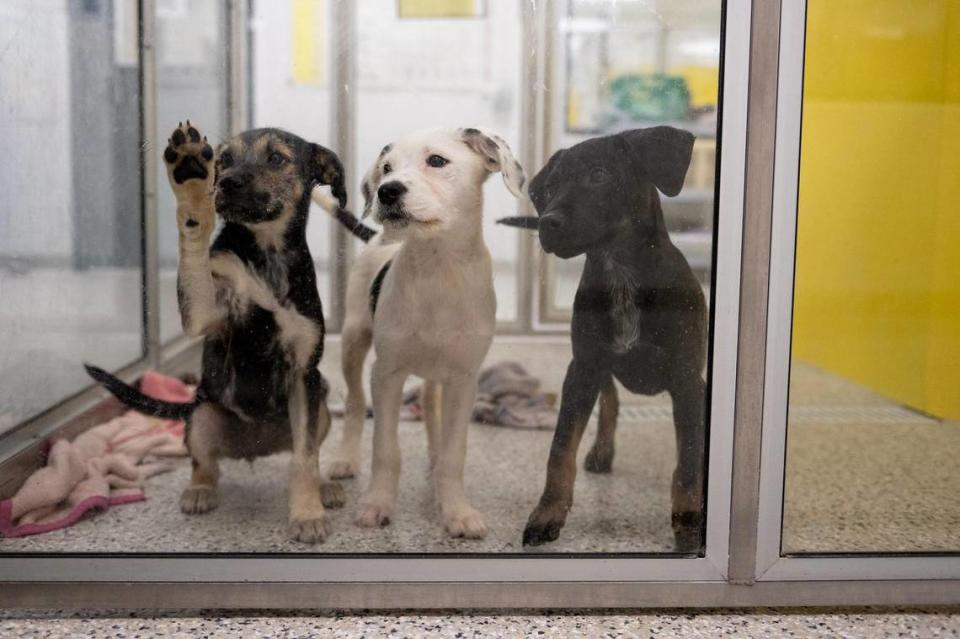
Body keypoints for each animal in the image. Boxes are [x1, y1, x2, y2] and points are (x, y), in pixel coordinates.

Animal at [85, 122, 348, 544]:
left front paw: (307, 513)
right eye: (224, 160)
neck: (266, 253)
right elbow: (196, 254)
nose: (224, 182)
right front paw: (191, 191)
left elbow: (305, 458)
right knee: (204, 463)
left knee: (304, 451)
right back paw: (199, 490)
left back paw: (325, 485)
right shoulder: (203, 313)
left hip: (320, 401)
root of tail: (256, 446)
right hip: (203, 413)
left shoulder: (304, 374)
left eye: (276, 158)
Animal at [324, 127, 524, 536]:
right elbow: (385, 449)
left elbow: (454, 451)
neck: (437, 269)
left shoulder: (464, 380)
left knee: (432, 408)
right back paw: (346, 459)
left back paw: (433, 457)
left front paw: (456, 511)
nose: (387, 191)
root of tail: (377, 238)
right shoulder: (386, 375)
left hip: (438, 374)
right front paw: (377, 503)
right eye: (386, 167)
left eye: (437, 161)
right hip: (354, 339)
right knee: (355, 403)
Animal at [502, 125, 704, 552]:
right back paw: (601, 450)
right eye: (550, 188)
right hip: (597, 366)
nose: (547, 223)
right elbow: (560, 450)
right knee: (611, 401)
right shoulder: (582, 369)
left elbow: (688, 461)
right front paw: (547, 514)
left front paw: (688, 525)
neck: (620, 275)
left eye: (599, 174)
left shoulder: (687, 379)